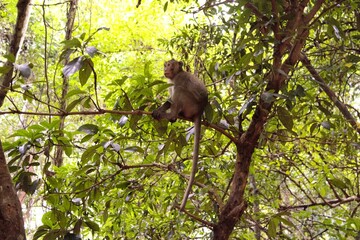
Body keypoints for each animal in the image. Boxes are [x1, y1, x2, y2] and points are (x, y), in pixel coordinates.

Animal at [152, 59, 208, 211]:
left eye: (170, 65)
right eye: (166, 64)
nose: (166, 69)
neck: (175, 75)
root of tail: (200, 111)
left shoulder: (179, 79)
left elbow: (175, 96)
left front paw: (165, 112)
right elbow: (168, 100)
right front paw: (159, 109)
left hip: (191, 103)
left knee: (180, 91)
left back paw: (171, 115)